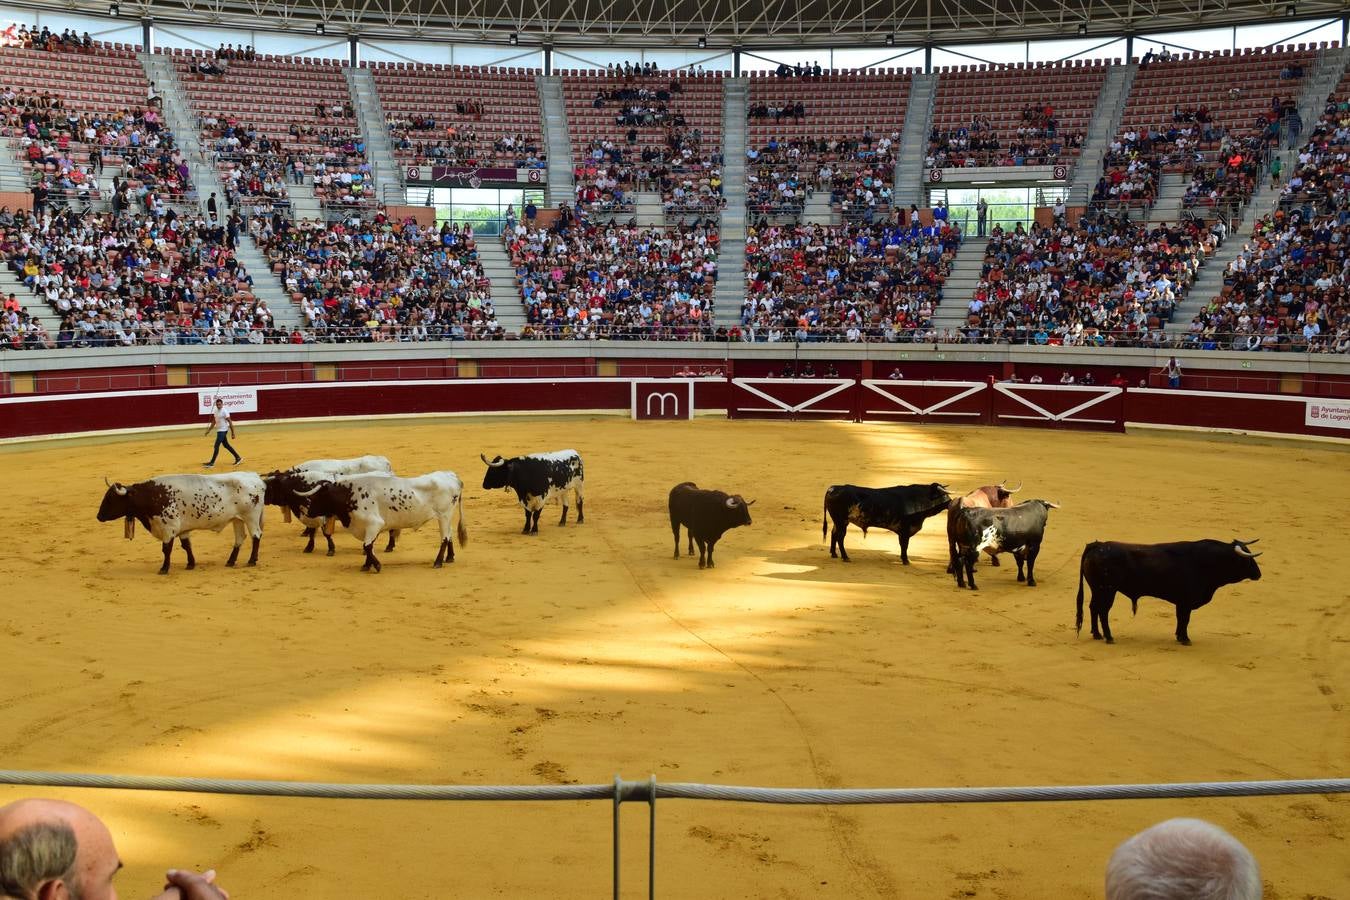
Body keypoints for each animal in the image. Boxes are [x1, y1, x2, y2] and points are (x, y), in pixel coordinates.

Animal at [97, 474, 265, 574]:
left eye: (111, 499)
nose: (98, 516)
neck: (151, 496)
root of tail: (257, 478)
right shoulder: (182, 529)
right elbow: (186, 546)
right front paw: (190, 564)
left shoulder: (168, 528)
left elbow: (166, 549)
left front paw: (164, 568)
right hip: (237, 519)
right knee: (240, 538)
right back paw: (230, 561)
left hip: (251, 517)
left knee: (256, 536)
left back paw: (251, 561)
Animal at [298, 469, 467, 574]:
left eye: (318, 496)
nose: (308, 512)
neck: (350, 495)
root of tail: (452, 476)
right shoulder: (370, 528)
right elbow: (369, 546)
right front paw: (366, 565)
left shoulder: (374, 524)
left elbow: (367, 546)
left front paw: (377, 566)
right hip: (446, 517)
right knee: (450, 535)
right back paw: (449, 558)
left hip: (444, 515)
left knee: (444, 538)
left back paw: (438, 562)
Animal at [820, 485, 950, 564]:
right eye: (944, 495)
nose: (951, 502)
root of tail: (834, 488)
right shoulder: (905, 530)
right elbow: (904, 545)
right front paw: (905, 561)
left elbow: (903, 545)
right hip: (841, 521)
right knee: (840, 537)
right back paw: (845, 557)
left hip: (840, 521)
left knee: (834, 533)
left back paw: (834, 554)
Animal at [1074, 539, 1263, 644]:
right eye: (1247, 560)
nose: (1259, 574)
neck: (1207, 561)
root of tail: (1097, 545)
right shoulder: (1186, 600)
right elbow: (1185, 619)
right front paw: (1185, 639)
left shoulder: (1181, 602)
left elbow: (1181, 619)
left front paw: (1179, 636)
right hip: (1107, 591)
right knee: (1103, 611)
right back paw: (1109, 637)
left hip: (1097, 590)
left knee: (1093, 608)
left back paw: (1097, 634)